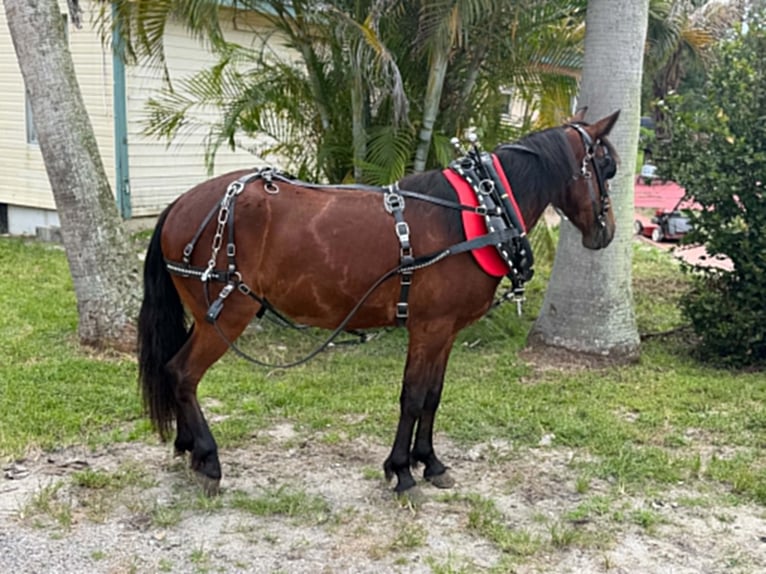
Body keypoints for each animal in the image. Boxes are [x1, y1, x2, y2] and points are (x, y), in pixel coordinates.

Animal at [137, 109, 620, 496]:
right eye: (607, 167)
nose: (608, 232)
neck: (479, 213)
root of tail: (181, 204)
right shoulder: (428, 328)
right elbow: (413, 396)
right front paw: (402, 471)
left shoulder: (445, 331)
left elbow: (433, 396)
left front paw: (431, 463)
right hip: (228, 313)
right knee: (183, 374)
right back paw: (209, 459)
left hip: (207, 318)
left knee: (177, 372)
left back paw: (190, 449)